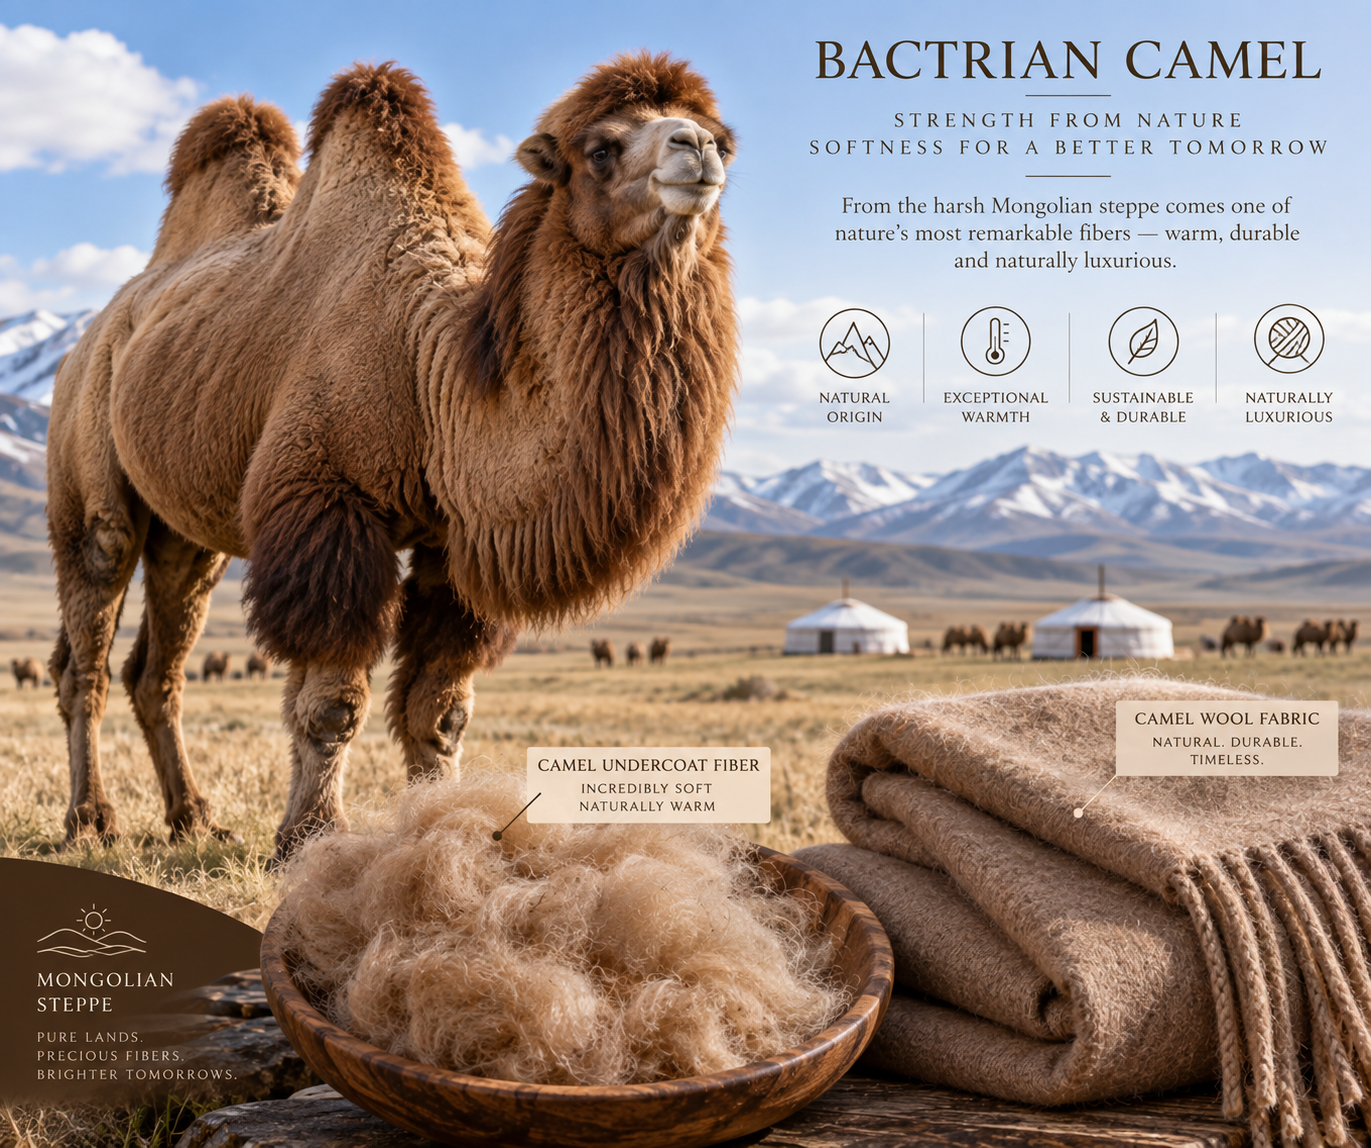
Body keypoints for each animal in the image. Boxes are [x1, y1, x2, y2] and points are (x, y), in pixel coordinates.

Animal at [45, 56, 737, 861]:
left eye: (722, 136)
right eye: (601, 148)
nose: (697, 149)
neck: (432, 375)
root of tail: (97, 331)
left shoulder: (451, 543)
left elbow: (438, 710)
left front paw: (445, 828)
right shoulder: (326, 505)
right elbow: (332, 703)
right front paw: (309, 835)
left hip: (186, 534)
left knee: (156, 667)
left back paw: (195, 817)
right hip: (91, 473)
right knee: (88, 646)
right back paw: (91, 820)